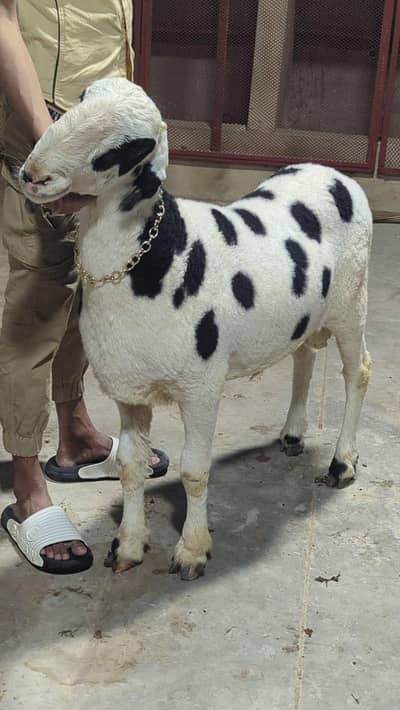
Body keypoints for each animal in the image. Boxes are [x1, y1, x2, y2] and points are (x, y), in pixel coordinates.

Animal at [19, 78, 372, 580]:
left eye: (125, 149)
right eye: (81, 100)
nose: (33, 174)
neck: (158, 256)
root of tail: (333, 172)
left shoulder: (201, 387)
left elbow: (193, 471)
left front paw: (192, 550)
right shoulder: (129, 388)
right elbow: (131, 465)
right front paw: (128, 546)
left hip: (350, 302)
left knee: (357, 372)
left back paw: (343, 462)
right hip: (306, 313)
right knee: (303, 355)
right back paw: (292, 434)